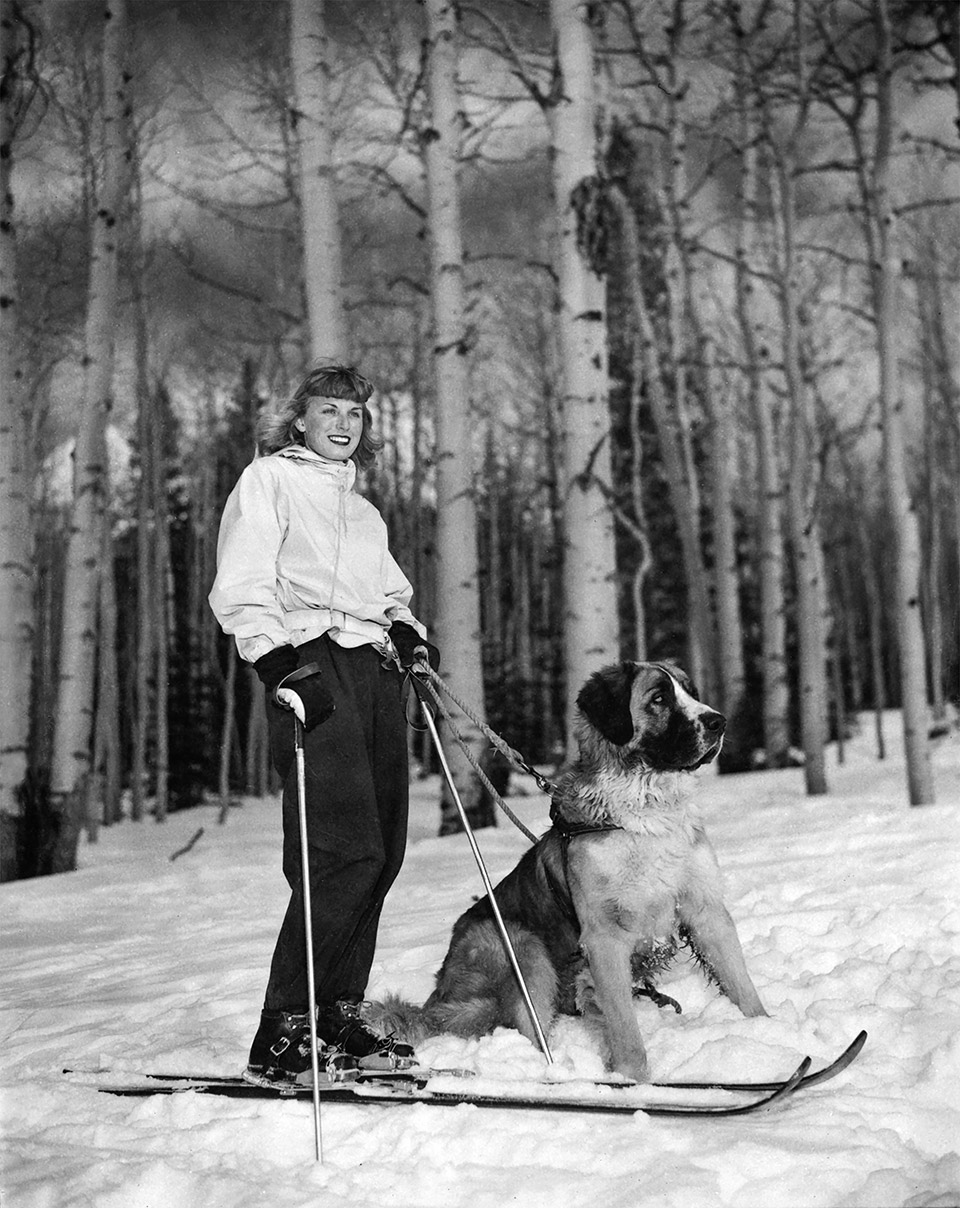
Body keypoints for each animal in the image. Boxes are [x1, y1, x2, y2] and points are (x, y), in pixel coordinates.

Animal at [381, 666, 768, 1082]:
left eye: (690, 691)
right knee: (528, 1026)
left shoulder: (705, 910)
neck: (645, 810)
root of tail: (438, 994)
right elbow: (625, 1026)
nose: (718, 721)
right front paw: (632, 1080)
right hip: (519, 946)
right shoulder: (604, 937)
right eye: (659, 698)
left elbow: (740, 984)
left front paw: (769, 1033)